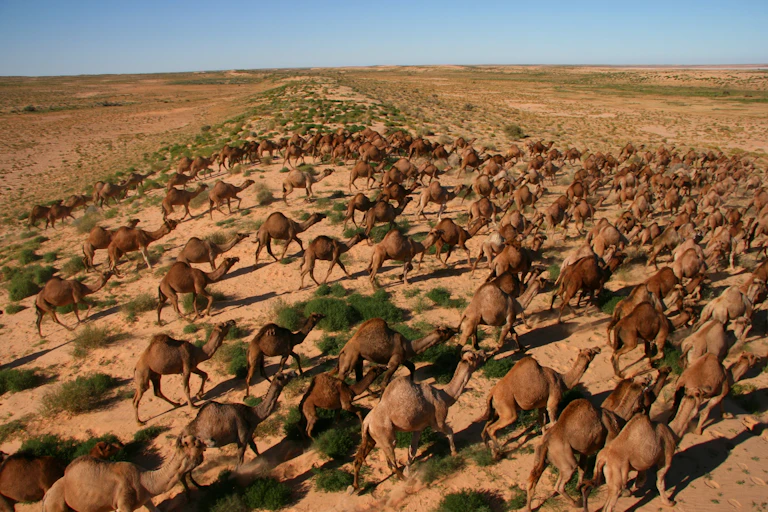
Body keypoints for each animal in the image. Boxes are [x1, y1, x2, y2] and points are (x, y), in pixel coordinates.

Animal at [41, 435, 206, 512]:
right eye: (195, 443)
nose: (204, 441)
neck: (144, 480)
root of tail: (46, 497)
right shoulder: (123, 504)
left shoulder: (145, 499)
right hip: (56, 505)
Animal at [351, 349, 483, 491]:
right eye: (475, 356)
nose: (483, 352)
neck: (444, 395)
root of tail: (366, 423)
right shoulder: (438, 421)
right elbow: (450, 431)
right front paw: (454, 452)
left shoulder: (419, 427)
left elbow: (412, 450)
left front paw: (408, 470)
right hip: (384, 434)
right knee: (393, 460)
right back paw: (407, 481)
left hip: (371, 436)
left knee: (360, 458)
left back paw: (356, 486)